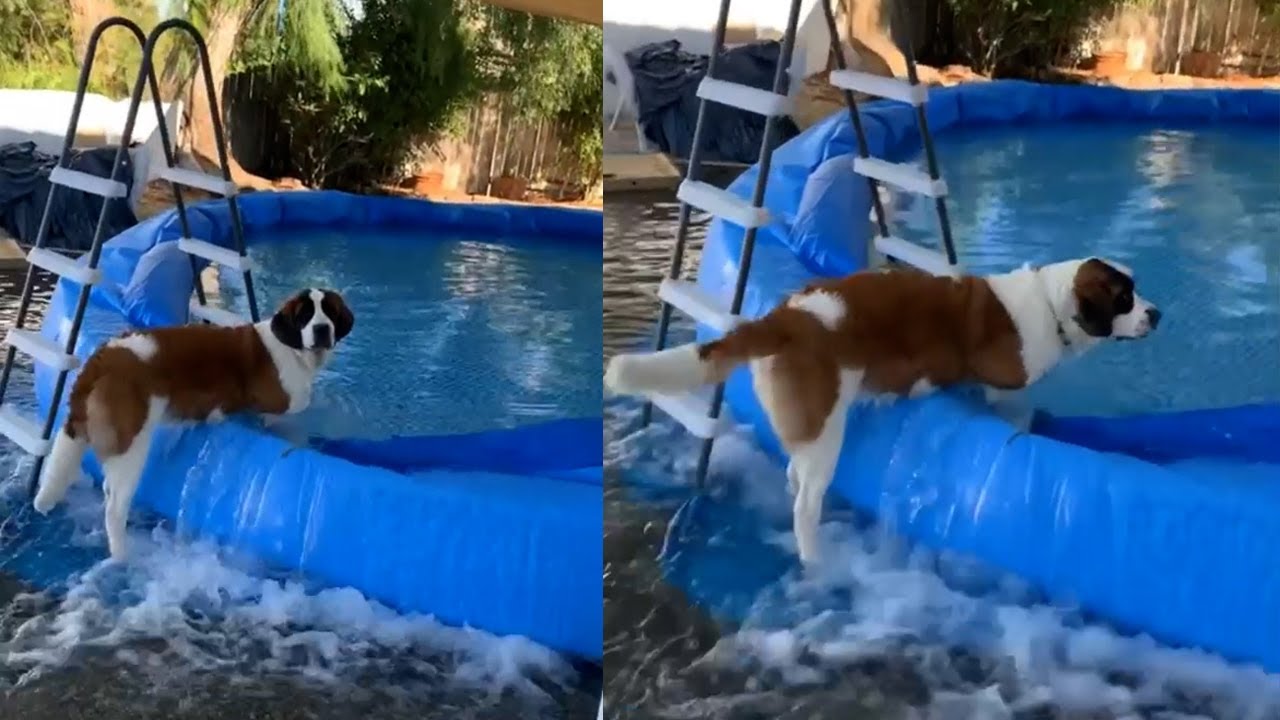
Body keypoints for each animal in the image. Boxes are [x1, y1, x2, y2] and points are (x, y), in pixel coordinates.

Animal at [32, 285, 353, 556]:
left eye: (329, 312)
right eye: (305, 316)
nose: (322, 329)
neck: (291, 348)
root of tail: (102, 359)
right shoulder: (282, 408)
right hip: (130, 445)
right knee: (114, 506)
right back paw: (122, 554)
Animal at [601, 254, 1162, 563]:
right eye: (1125, 298)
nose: (1156, 313)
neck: (1051, 304)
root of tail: (786, 317)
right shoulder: (1004, 379)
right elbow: (1012, 405)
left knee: (794, 474)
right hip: (827, 427)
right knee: (806, 501)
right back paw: (815, 559)